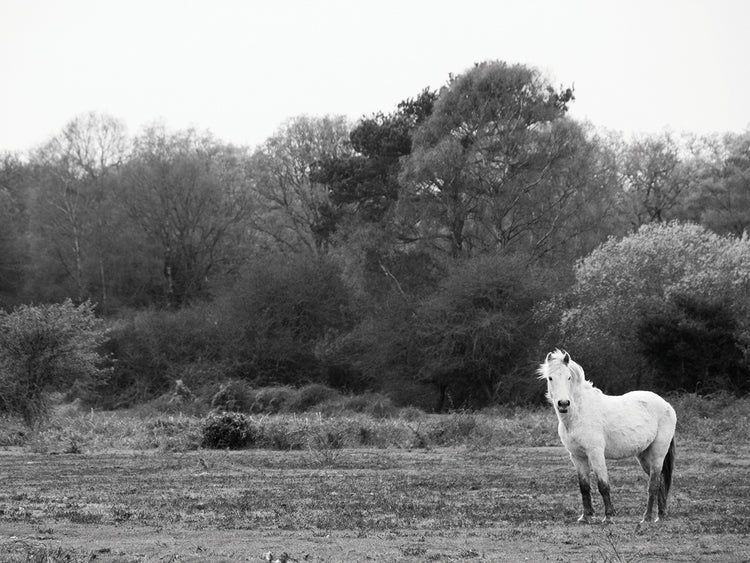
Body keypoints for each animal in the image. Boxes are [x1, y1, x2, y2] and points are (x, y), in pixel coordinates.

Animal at [539, 349, 676, 524]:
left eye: (569, 377)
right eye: (550, 378)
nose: (563, 404)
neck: (579, 413)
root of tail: (667, 405)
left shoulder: (595, 453)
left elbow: (603, 485)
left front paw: (609, 516)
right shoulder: (577, 456)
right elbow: (584, 487)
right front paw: (586, 516)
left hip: (658, 452)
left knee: (654, 484)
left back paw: (647, 517)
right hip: (644, 456)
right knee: (660, 482)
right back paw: (661, 515)